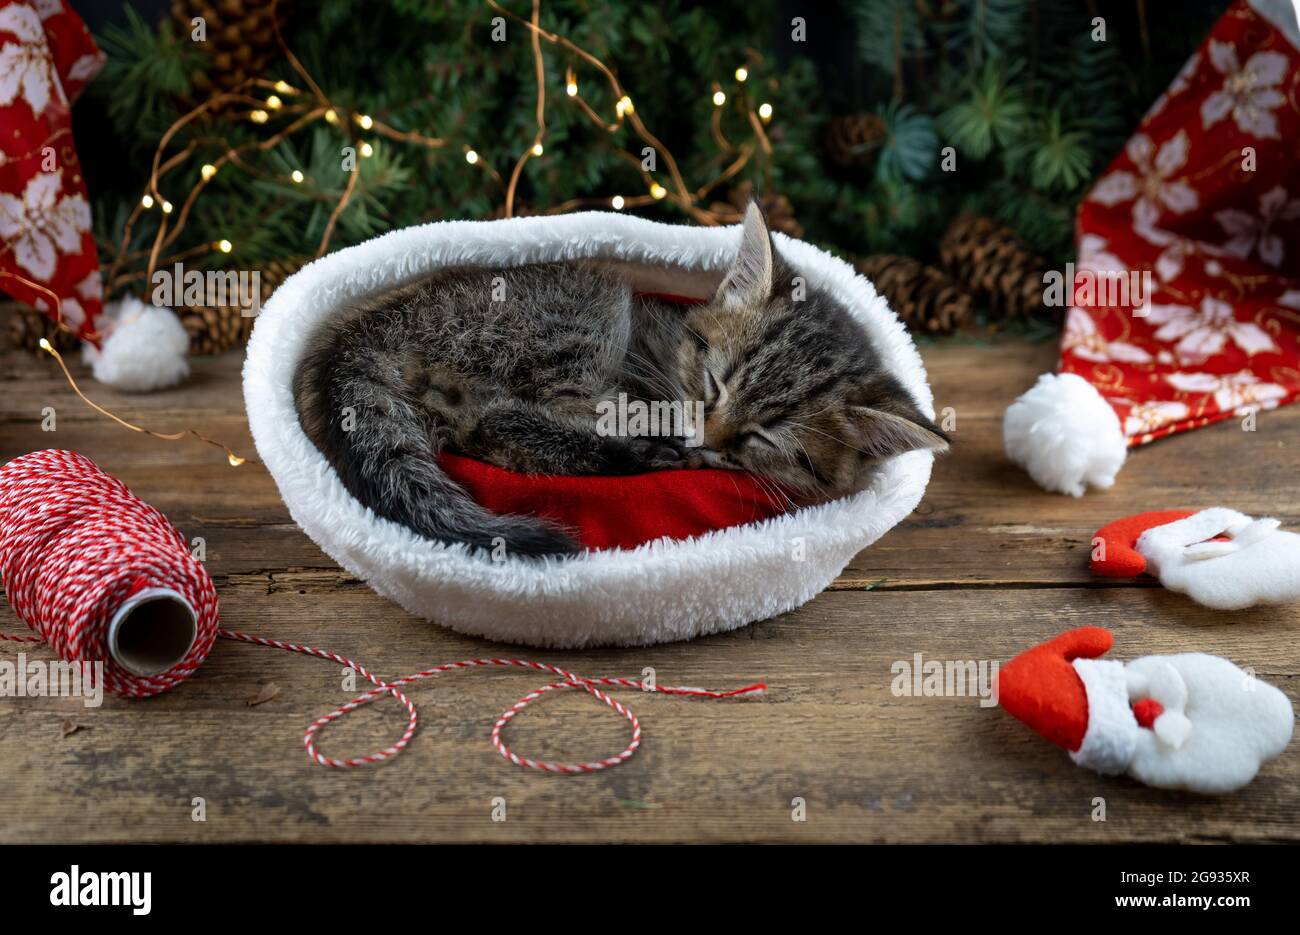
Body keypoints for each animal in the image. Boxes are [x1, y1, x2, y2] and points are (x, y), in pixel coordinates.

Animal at [292, 202, 946, 556]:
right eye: (714, 383)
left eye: (764, 437)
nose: (704, 439)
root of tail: (363, 328)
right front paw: (671, 439)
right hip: (588, 308)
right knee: (504, 419)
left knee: (488, 429)